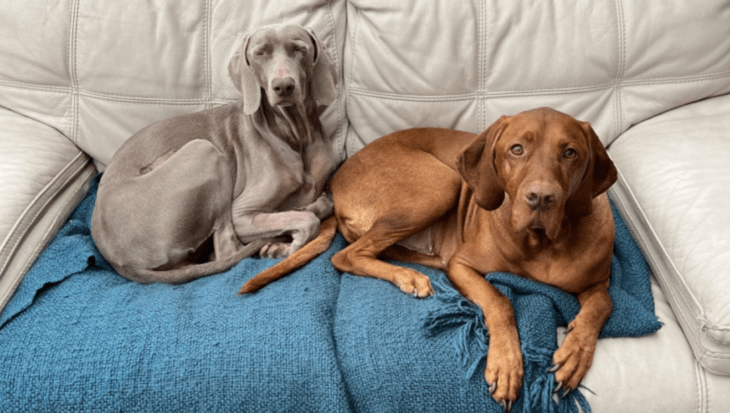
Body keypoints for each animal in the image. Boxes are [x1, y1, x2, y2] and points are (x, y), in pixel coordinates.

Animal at [91, 25, 338, 284]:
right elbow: (308, 221)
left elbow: (324, 204)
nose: (283, 86)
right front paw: (285, 245)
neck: (295, 133)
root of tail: (119, 261)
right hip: (204, 150)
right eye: (260, 53)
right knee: (227, 250)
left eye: (300, 50)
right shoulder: (241, 214)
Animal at [239, 108, 616, 408]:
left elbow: (602, 304)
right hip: (441, 183)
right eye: (517, 149)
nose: (540, 198)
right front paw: (507, 364)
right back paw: (408, 276)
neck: (542, 244)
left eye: (570, 153)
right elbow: (499, 301)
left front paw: (575, 353)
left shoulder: (599, 282)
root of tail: (334, 182)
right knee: (346, 256)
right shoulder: (464, 266)